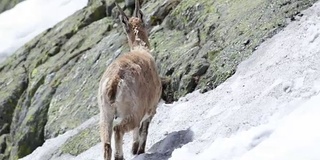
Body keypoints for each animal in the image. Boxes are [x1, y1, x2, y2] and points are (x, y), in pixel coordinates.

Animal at [97, 0, 162, 159]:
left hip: (105, 113)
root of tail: (113, 82)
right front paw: (138, 149)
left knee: (106, 144)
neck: (141, 49)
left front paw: (134, 149)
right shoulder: (150, 107)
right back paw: (120, 156)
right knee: (119, 129)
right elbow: (143, 129)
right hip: (133, 111)